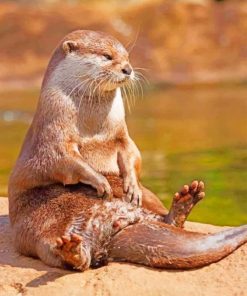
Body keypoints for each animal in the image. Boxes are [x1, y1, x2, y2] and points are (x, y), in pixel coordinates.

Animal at [8, 30, 247, 270]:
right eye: (107, 56)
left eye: (127, 57)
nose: (128, 69)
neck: (92, 126)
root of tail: (115, 226)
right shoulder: (53, 134)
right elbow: (65, 161)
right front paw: (100, 181)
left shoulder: (121, 135)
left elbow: (132, 154)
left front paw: (131, 185)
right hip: (40, 227)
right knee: (65, 255)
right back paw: (71, 250)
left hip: (148, 197)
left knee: (165, 219)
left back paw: (184, 201)